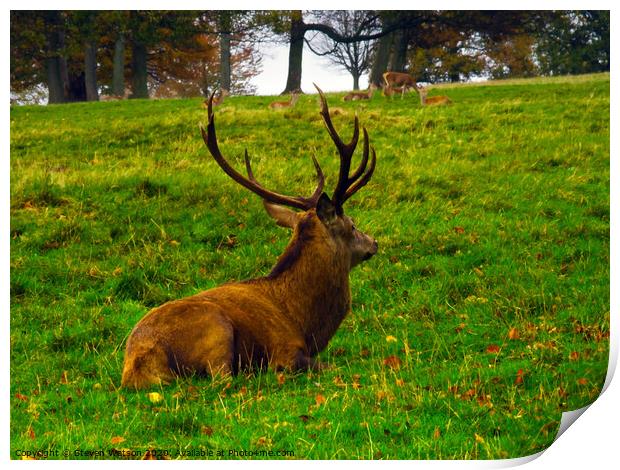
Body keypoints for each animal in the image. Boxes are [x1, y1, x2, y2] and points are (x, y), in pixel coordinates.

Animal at [118, 83, 376, 390]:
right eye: (352, 224)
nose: (374, 243)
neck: (303, 320)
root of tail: (138, 366)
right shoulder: (286, 351)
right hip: (217, 329)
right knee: (222, 379)